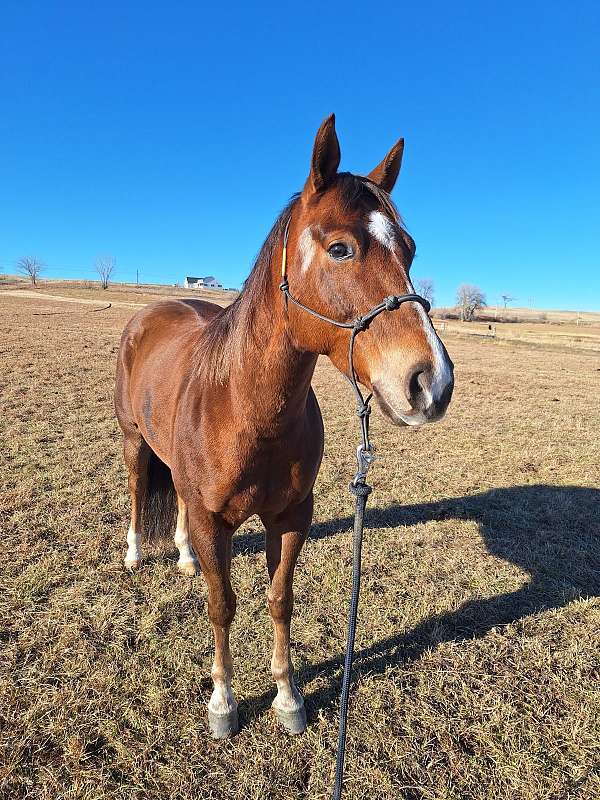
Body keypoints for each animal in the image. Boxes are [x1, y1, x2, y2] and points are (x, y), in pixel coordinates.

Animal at [115, 112, 452, 736]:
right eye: (340, 248)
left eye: (411, 250)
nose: (431, 382)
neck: (246, 411)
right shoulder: (215, 520)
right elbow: (222, 604)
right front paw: (223, 703)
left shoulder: (293, 516)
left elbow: (279, 599)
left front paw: (288, 696)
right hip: (133, 443)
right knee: (136, 489)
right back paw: (134, 553)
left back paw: (183, 554)